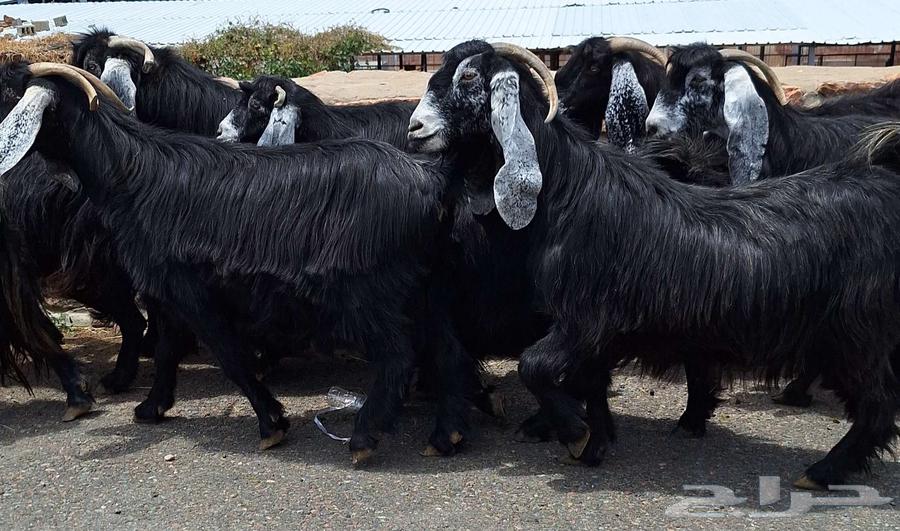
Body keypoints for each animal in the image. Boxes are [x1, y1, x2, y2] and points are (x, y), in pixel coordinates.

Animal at [408, 40, 900, 489]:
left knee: (878, 407)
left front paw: (575, 434)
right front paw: (595, 444)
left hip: (859, 336)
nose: (414, 128)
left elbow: (536, 366)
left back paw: (822, 470)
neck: (570, 195)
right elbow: (589, 380)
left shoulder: (588, 316)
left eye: (470, 77)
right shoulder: (591, 332)